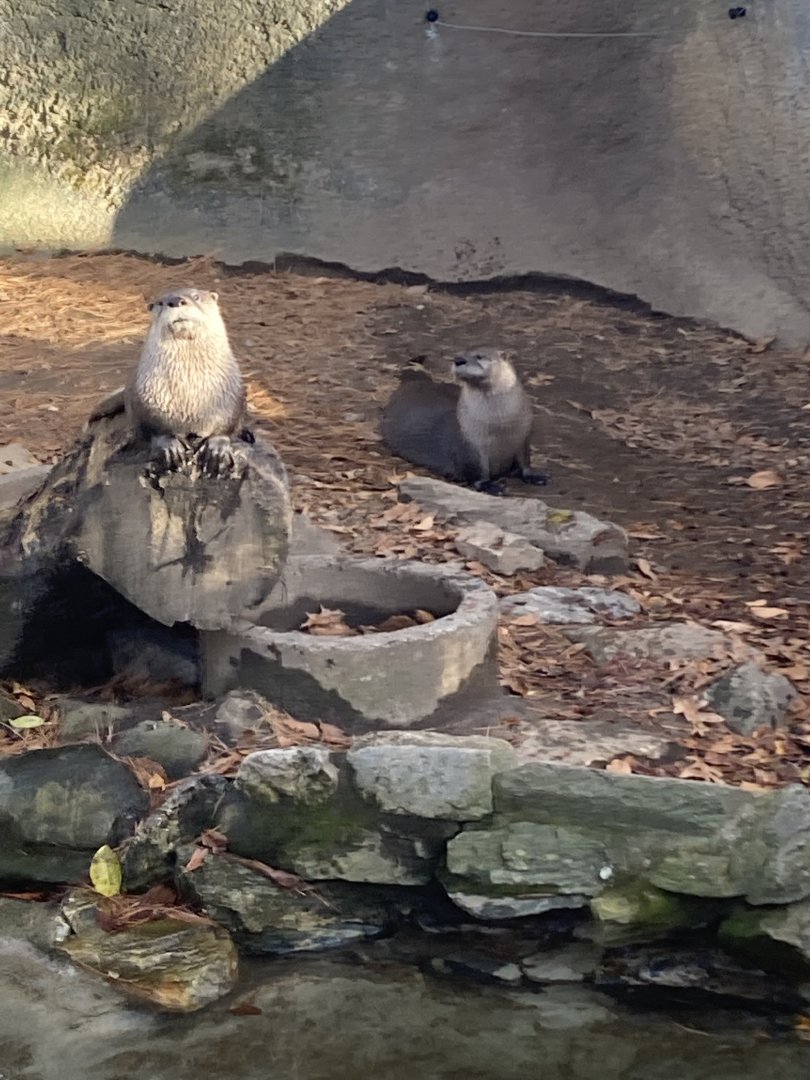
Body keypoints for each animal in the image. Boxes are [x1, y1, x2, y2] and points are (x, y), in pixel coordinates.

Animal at [88, 287, 251, 477]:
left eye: (196, 296)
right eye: (161, 302)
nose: (175, 301)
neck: (190, 394)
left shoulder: (232, 393)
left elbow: (228, 424)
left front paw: (216, 449)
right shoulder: (146, 396)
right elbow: (153, 428)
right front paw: (169, 446)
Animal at [380, 348, 549, 495]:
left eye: (479, 356)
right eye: (459, 354)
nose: (458, 360)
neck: (501, 426)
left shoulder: (523, 437)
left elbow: (525, 461)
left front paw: (534, 476)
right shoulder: (471, 447)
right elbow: (476, 473)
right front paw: (490, 486)